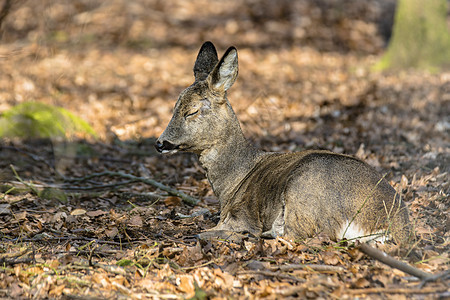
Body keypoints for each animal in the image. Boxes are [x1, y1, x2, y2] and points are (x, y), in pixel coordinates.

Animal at [156, 41, 412, 244]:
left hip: (304, 193)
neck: (233, 182)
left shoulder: (242, 215)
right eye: (174, 106)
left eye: (192, 111)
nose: (160, 143)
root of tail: (394, 225)